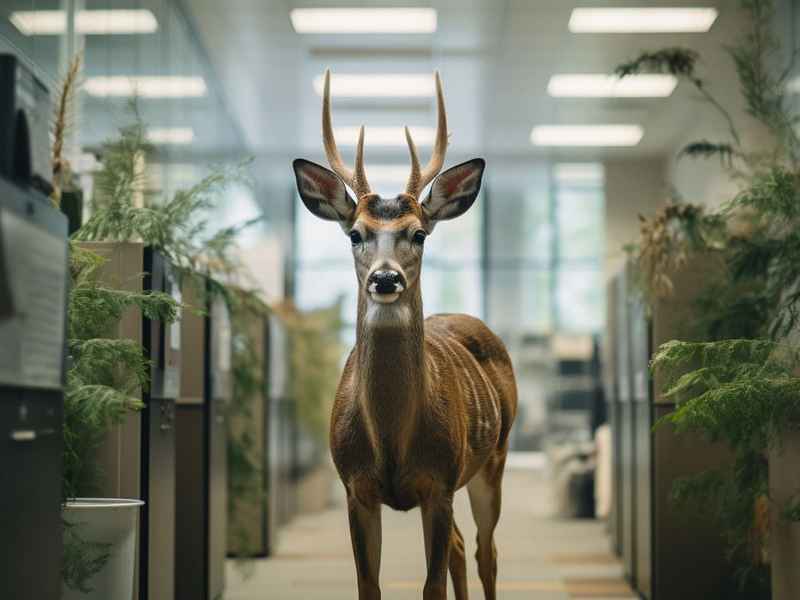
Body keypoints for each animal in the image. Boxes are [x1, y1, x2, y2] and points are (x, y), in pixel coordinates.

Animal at [292, 70, 517, 600]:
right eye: (355, 233)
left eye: (419, 233)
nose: (385, 278)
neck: (392, 440)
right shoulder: (356, 488)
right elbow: (368, 586)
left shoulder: (439, 482)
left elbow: (431, 586)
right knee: (461, 546)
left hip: (493, 459)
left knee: (486, 550)